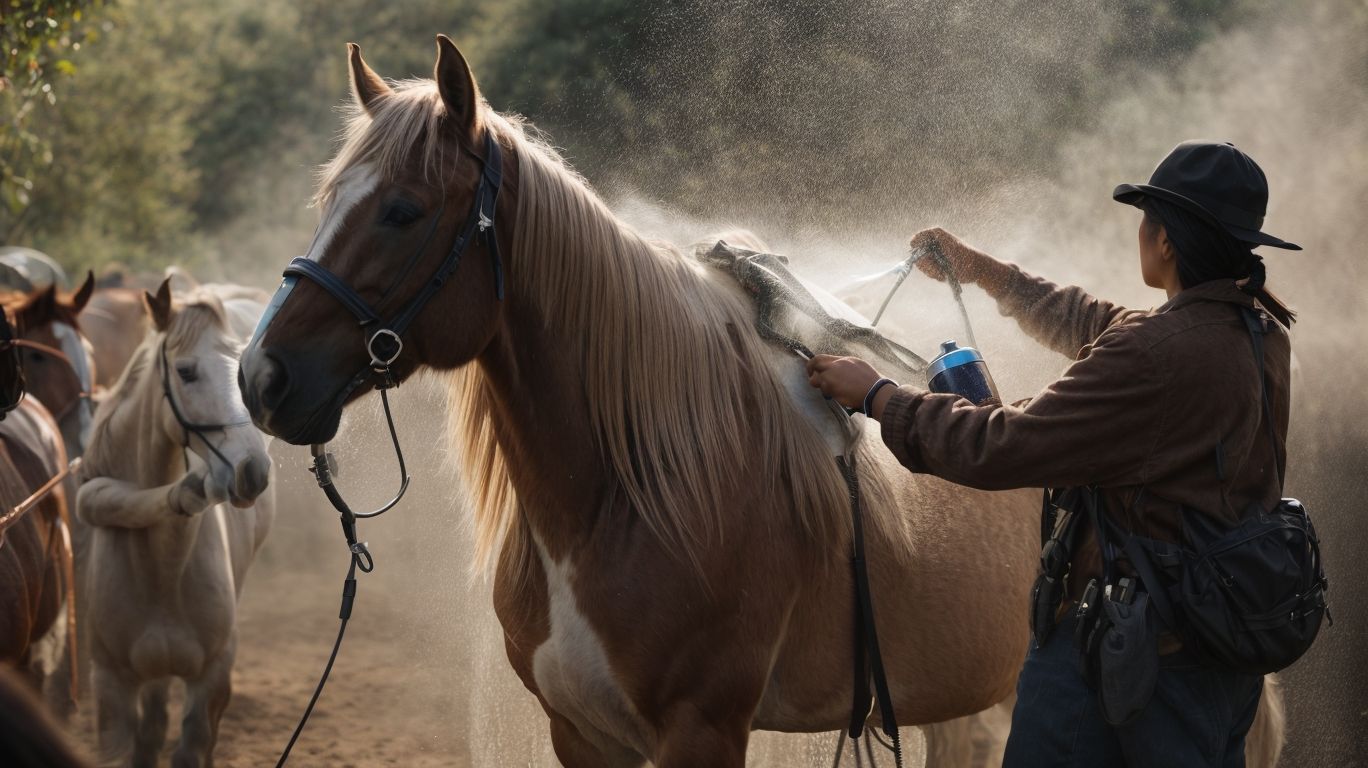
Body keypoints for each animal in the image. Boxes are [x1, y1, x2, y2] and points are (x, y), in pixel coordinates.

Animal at [238, 38, 1282, 766]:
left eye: (402, 210)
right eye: (329, 201)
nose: (262, 377)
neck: (638, 491)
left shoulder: (702, 728)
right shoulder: (584, 735)